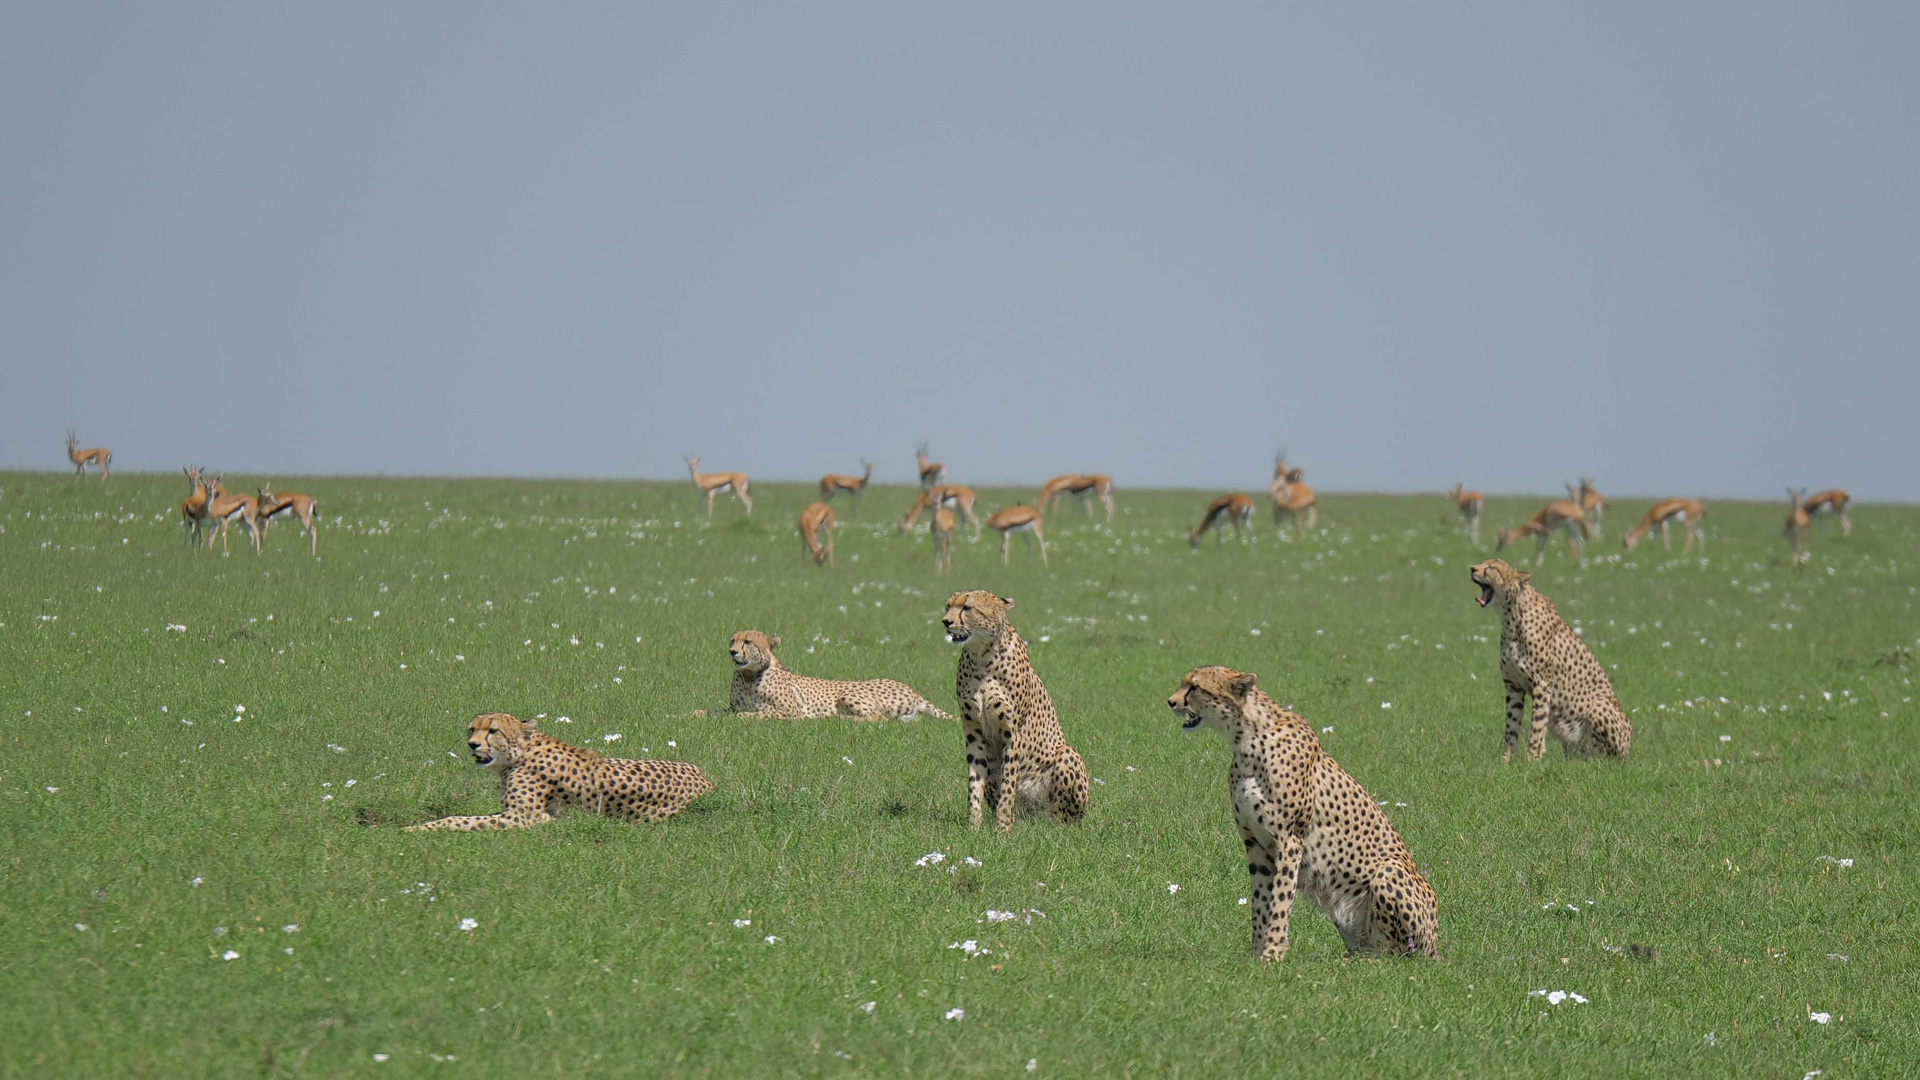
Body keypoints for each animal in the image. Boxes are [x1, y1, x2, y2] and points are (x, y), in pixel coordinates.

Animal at [405, 711, 714, 826]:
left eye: (492, 731)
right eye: (472, 729)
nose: (472, 745)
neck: (520, 754)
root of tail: (707, 781)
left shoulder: (521, 817)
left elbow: (458, 820)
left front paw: (417, 829)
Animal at [725, 626, 952, 718]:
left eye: (748, 641)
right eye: (732, 640)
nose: (732, 652)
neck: (749, 676)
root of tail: (913, 690)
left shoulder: (792, 710)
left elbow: (760, 712)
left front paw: (747, 716)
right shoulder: (731, 707)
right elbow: (719, 712)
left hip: (848, 693)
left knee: (878, 718)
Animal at [936, 591, 1090, 826]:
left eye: (967, 608)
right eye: (948, 606)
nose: (946, 622)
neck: (982, 655)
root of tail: (1035, 818)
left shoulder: (1012, 733)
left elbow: (1008, 784)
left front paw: (1003, 827)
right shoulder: (974, 733)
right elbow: (974, 783)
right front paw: (974, 826)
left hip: (1067, 754)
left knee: (1064, 817)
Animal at [1159, 664, 1436, 957]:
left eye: (1195, 687)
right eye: (1184, 683)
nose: (1171, 702)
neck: (1246, 739)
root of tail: (1436, 947)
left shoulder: (1289, 840)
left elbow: (1280, 900)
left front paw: (1273, 953)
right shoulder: (1255, 843)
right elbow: (1260, 901)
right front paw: (1256, 953)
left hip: (1389, 871)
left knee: (1395, 956)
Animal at [1474, 557, 1628, 760]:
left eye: (1491, 567)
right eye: (1482, 563)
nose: (1472, 569)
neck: (1511, 615)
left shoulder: (1542, 683)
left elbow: (1537, 725)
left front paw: (1532, 759)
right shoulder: (1513, 684)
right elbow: (1511, 725)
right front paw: (1506, 760)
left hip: (1600, 705)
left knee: (1605, 758)